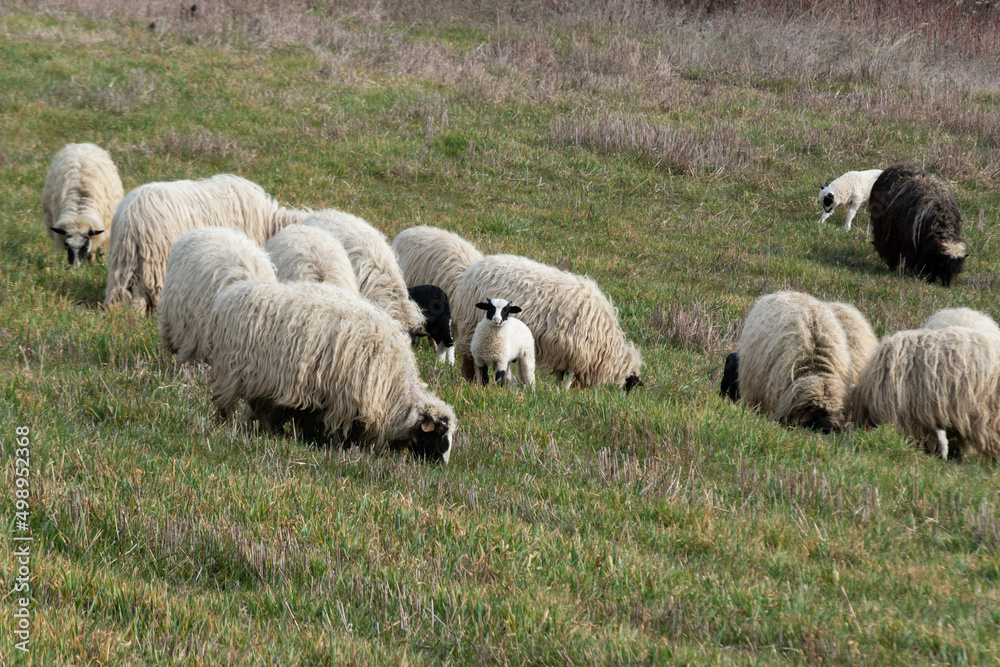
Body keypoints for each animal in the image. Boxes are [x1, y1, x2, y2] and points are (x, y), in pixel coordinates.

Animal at [207, 280, 456, 462]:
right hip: (235, 370)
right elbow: (346, 429)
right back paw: (231, 425)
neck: (393, 387)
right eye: (438, 434)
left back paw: (270, 431)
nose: (441, 466)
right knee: (231, 403)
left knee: (259, 405)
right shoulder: (348, 397)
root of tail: (229, 295)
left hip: (262, 379)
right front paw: (344, 448)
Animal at [452, 254, 643, 392]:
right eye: (631, 385)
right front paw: (565, 393)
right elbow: (569, 377)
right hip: (472, 328)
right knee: (474, 361)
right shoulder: (577, 353)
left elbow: (560, 375)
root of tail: (473, 269)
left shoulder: (563, 351)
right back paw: (476, 383)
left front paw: (558, 392)